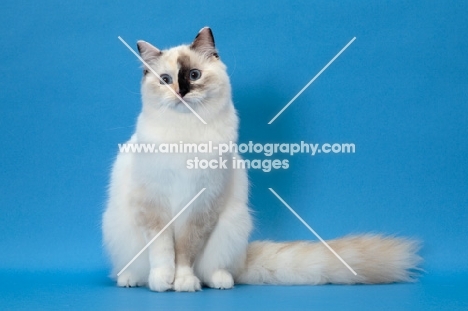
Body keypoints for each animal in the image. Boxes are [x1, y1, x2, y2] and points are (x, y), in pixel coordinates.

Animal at [101, 26, 420, 292]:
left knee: (216, 269)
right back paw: (131, 279)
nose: (180, 93)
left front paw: (183, 283)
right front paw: (163, 281)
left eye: (193, 76)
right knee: (131, 269)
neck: (186, 135)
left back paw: (219, 281)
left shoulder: (201, 207)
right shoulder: (153, 205)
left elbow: (186, 251)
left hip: (232, 226)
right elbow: (164, 251)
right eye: (165, 81)